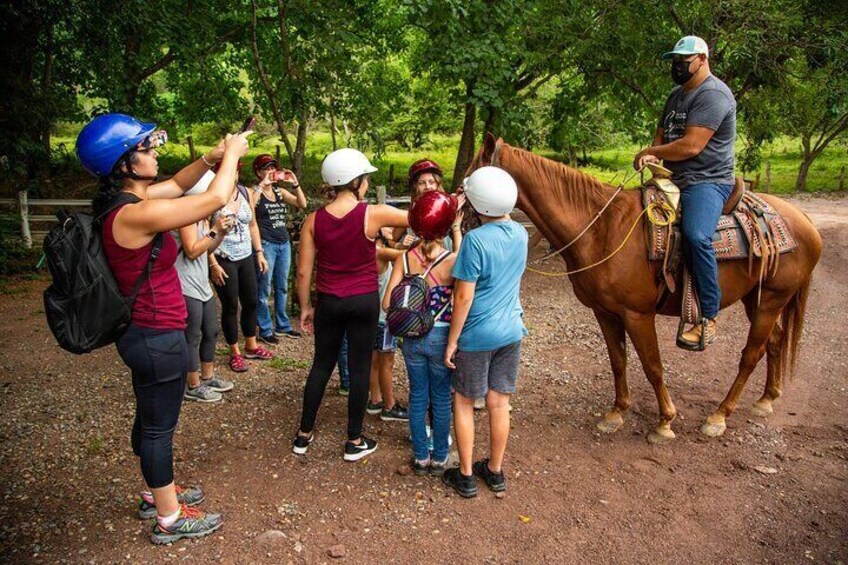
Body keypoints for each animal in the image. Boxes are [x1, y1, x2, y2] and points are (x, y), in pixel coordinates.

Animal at [470, 134, 820, 442]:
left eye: (471, 178)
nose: (459, 207)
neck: (601, 228)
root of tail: (804, 220)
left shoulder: (637, 315)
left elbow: (653, 366)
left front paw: (665, 421)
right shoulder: (604, 312)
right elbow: (618, 361)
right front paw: (616, 413)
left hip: (770, 301)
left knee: (751, 354)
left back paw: (719, 416)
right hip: (756, 300)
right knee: (775, 341)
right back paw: (766, 399)